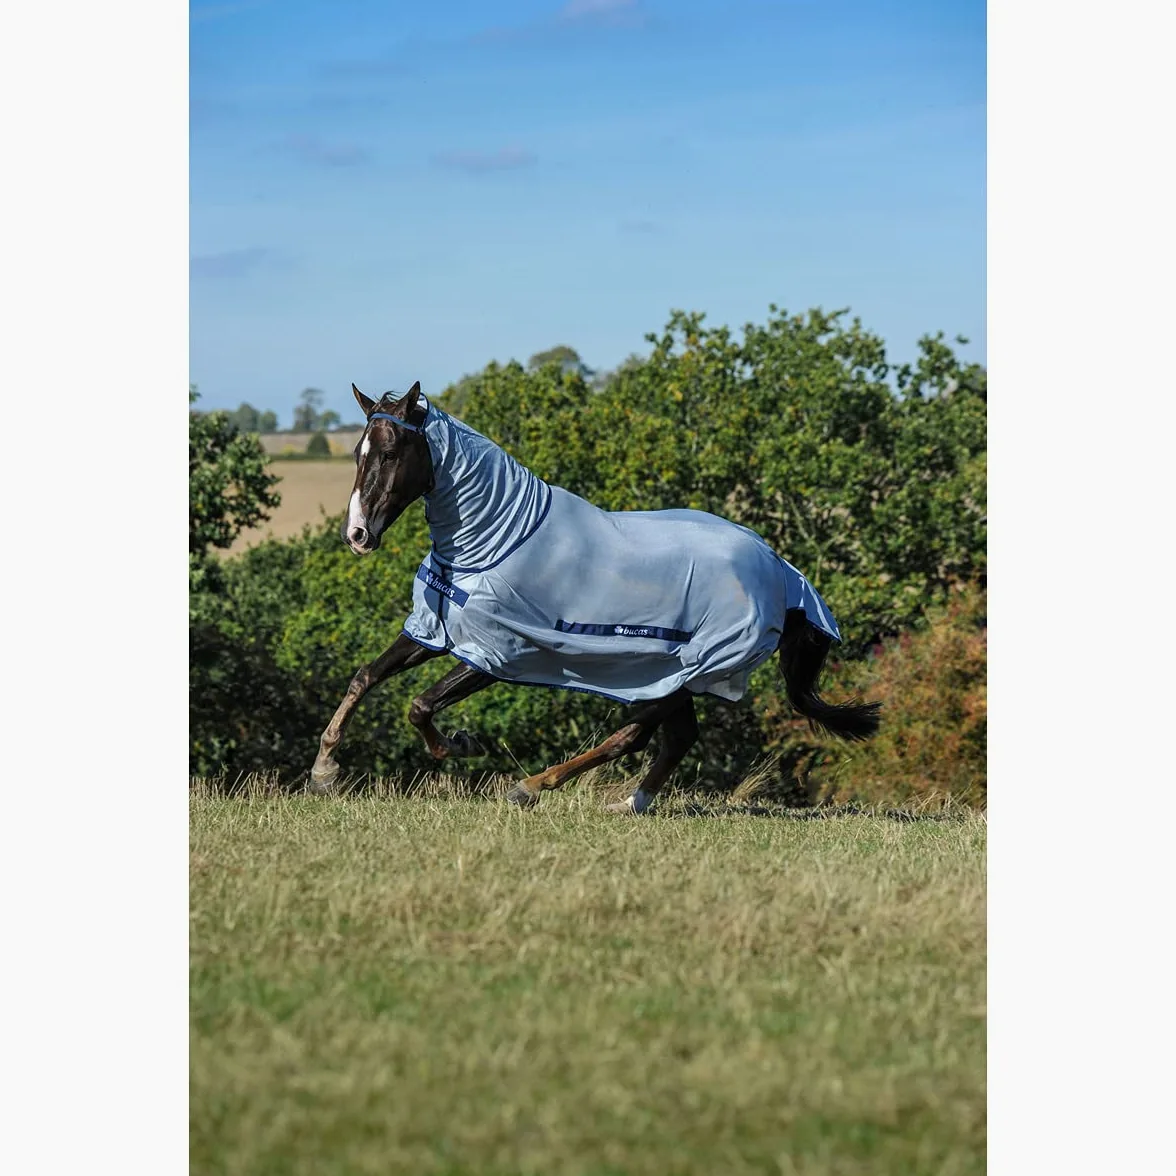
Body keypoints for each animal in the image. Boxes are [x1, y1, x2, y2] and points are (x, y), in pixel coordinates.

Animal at [310, 381, 880, 813]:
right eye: (357, 453)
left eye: (389, 453)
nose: (357, 535)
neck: (497, 538)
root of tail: (781, 571)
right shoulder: (434, 632)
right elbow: (366, 676)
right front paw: (324, 770)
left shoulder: (497, 654)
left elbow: (419, 705)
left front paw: (459, 745)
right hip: (670, 674)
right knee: (675, 739)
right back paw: (627, 805)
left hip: (687, 672)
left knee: (633, 737)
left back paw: (533, 786)